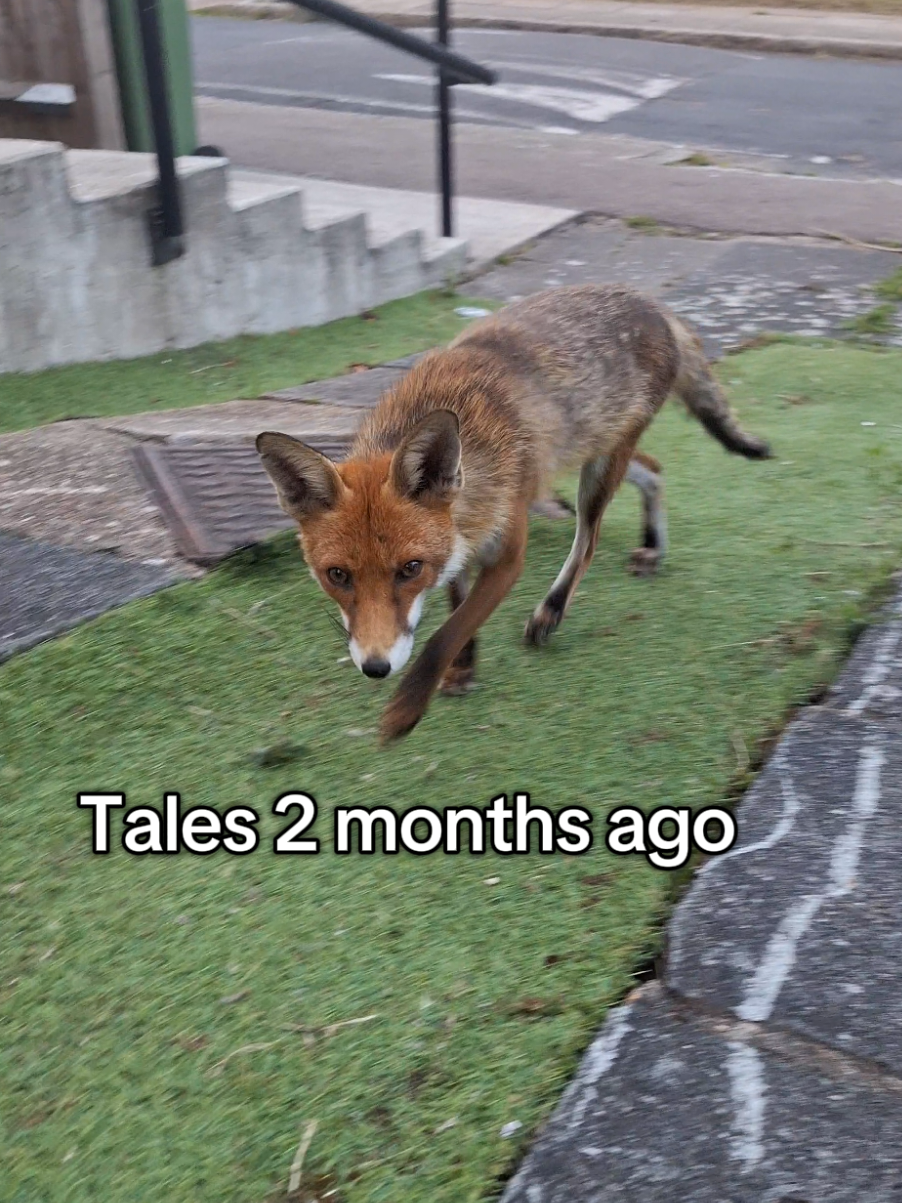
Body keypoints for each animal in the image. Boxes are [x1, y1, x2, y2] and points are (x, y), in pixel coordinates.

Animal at [257, 284, 770, 742]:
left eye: (410, 569)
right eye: (337, 576)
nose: (375, 667)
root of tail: (652, 302)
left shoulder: (506, 555)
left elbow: (447, 632)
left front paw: (407, 708)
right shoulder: (458, 544)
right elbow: (456, 605)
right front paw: (463, 667)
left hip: (598, 471)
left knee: (588, 539)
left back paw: (552, 611)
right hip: (600, 451)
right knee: (655, 470)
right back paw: (653, 548)